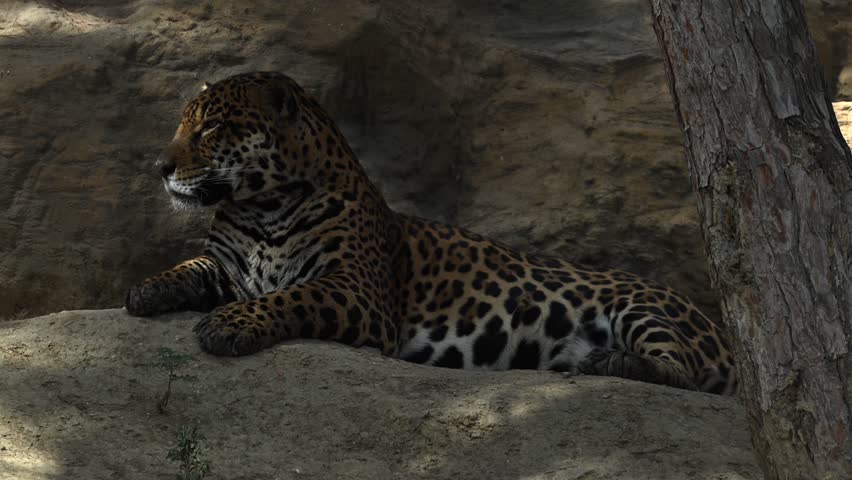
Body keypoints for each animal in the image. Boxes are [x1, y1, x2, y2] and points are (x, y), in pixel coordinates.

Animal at [125, 71, 737, 395]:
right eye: (184, 124)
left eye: (211, 128)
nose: (160, 166)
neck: (261, 208)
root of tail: (721, 327)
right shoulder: (227, 266)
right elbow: (189, 267)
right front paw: (147, 289)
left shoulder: (356, 291)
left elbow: (290, 296)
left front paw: (228, 324)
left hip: (645, 307)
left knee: (684, 372)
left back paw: (613, 363)